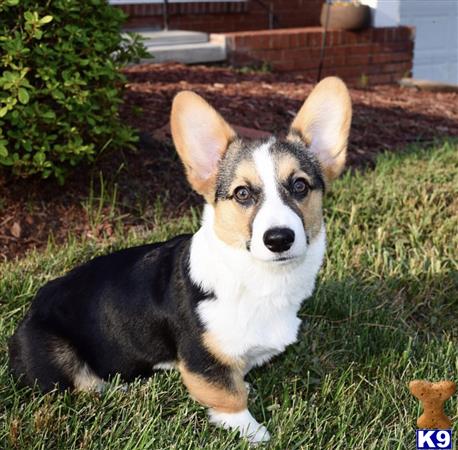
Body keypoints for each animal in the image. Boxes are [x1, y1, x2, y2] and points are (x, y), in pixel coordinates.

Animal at [8, 76, 350, 442]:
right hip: (55, 353)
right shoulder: (201, 360)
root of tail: (32, 309)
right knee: (82, 383)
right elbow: (229, 396)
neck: (258, 279)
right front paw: (254, 432)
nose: (279, 239)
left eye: (300, 186)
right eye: (242, 193)